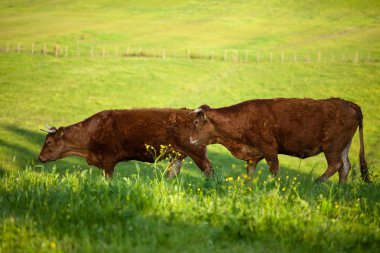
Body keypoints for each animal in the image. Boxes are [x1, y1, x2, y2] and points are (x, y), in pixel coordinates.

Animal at [38, 108, 214, 178]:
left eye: (49, 142)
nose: (39, 158)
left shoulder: (109, 160)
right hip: (178, 156)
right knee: (173, 173)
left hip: (197, 153)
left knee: (208, 169)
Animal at [191, 98, 370, 183]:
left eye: (196, 122)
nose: (190, 138)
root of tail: (352, 105)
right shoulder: (253, 155)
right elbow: (250, 175)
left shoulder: (270, 149)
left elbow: (274, 171)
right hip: (343, 146)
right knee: (345, 167)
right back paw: (340, 190)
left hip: (332, 146)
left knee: (336, 165)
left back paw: (317, 183)